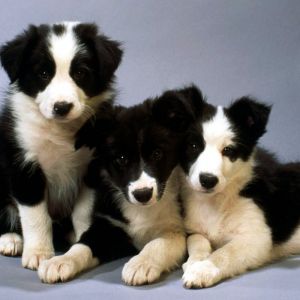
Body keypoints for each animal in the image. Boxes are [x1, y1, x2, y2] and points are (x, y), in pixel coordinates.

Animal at [0, 21, 123, 270]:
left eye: (80, 73)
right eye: (43, 74)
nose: (62, 107)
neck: (60, 130)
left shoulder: (92, 168)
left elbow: (84, 210)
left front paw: (83, 238)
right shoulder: (24, 166)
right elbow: (35, 215)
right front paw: (39, 253)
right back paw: (10, 239)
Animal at [37, 86, 204, 284]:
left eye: (157, 154)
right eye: (121, 159)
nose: (143, 194)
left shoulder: (177, 230)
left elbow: (158, 244)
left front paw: (140, 264)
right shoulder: (107, 225)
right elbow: (83, 245)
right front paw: (60, 261)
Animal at [179, 85, 300, 288]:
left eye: (228, 150)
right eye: (194, 146)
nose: (208, 180)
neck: (217, 201)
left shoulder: (256, 236)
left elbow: (225, 253)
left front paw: (203, 270)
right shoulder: (195, 229)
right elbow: (197, 242)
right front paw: (194, 262)